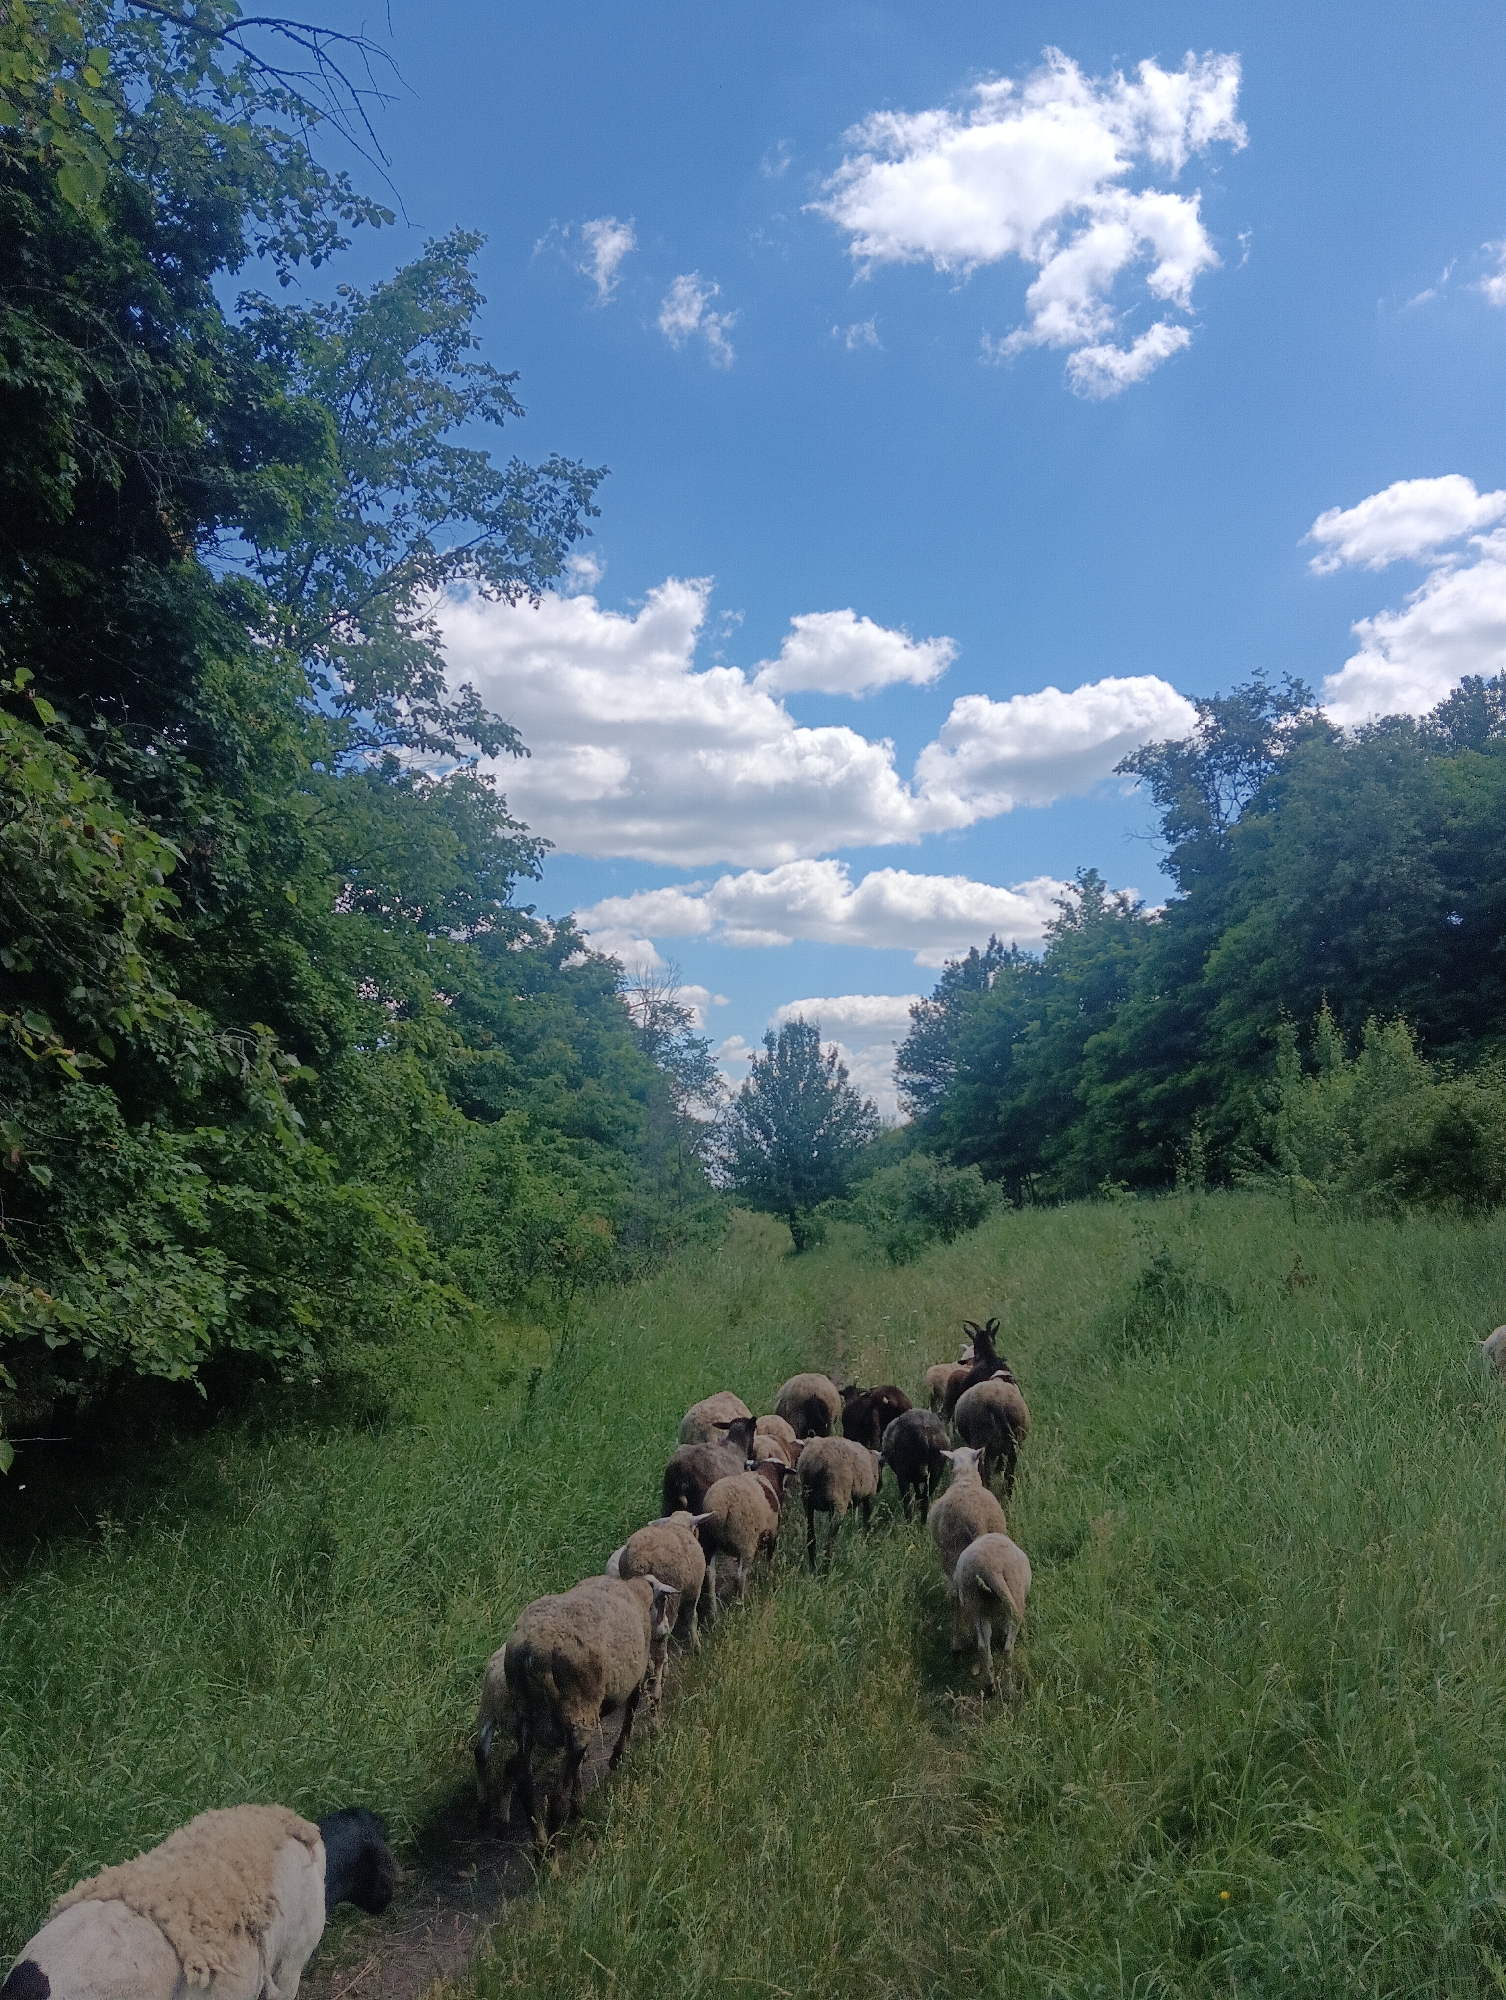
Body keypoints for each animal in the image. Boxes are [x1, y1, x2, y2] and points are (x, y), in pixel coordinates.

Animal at [475, 1573, 679, 1842]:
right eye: (663, 1600)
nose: (665, 1630)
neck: (637, 1594)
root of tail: (533, 1652)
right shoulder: (634, 1674)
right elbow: (632, 1709)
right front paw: (617, 1756)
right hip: (576, 1710)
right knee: (555, 1798)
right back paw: (556, 1835)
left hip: (526, 1717)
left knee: (522, 1781)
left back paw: (533, 1834)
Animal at [607, 1514, 710, 1668]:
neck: (678, 1524)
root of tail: (640, 1559)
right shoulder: (694, 1590)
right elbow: (692, 1617)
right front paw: (696, 1646)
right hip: (670, 1593)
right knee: (664, 1630)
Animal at [797, 1436, 881, 1567]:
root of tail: (815, 1461)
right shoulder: (869, 1495)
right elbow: (868, 1522)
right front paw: (868, 1545)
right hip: (838, 1502)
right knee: (828, 1546)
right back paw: (825, 1570)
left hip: (807, 1503)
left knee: (811, 1540)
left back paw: (813, 1567)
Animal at [951, 1533, 1031, 1697]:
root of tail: (991, 1569)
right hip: (1015, 1594)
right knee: (1008, 1649)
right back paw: (1008, 1691)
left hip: (977, 1606)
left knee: (983, 1646)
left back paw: (989, 1686)